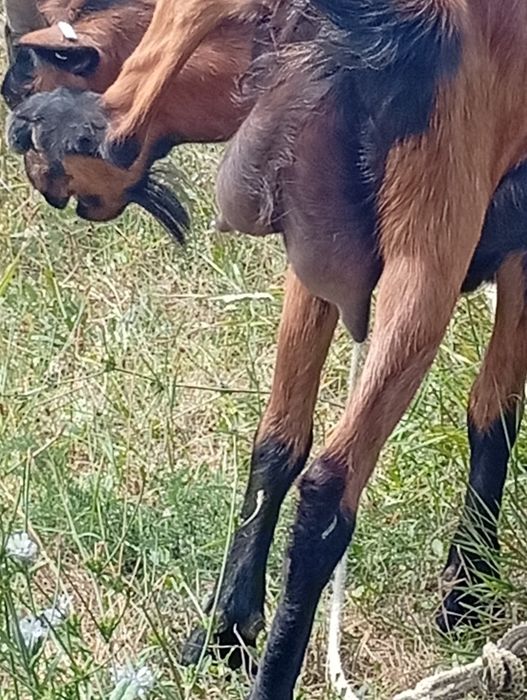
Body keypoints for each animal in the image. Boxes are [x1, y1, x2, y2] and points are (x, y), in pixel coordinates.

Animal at [7, 1, 527, 697]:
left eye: (23, 80)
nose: (43, 175)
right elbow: (490, 415)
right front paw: (467, 591)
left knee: (298, 458)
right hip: (428, 250)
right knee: (327, 485)